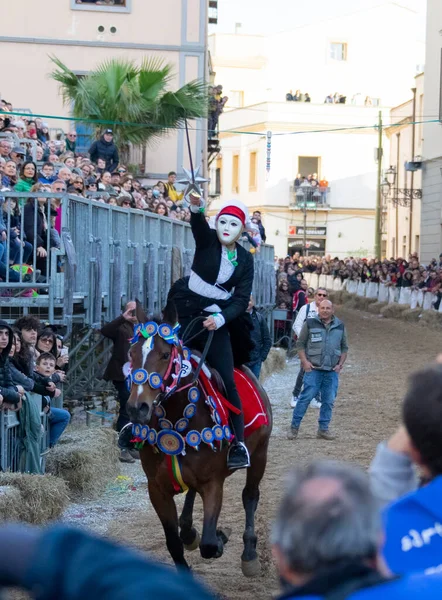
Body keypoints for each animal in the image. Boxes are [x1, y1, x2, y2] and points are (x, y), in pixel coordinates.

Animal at [126, 302, 272, 576]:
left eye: (165, 355)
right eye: (131, 353)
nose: (137, 408)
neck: (176, 422)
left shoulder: (213, 484)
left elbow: (209, 544)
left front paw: (221, 536)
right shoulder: (157, 489)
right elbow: (174, 544)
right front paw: (189, 536)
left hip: (260, 454)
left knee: (250, 496)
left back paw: (249, 553)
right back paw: (188, 529)